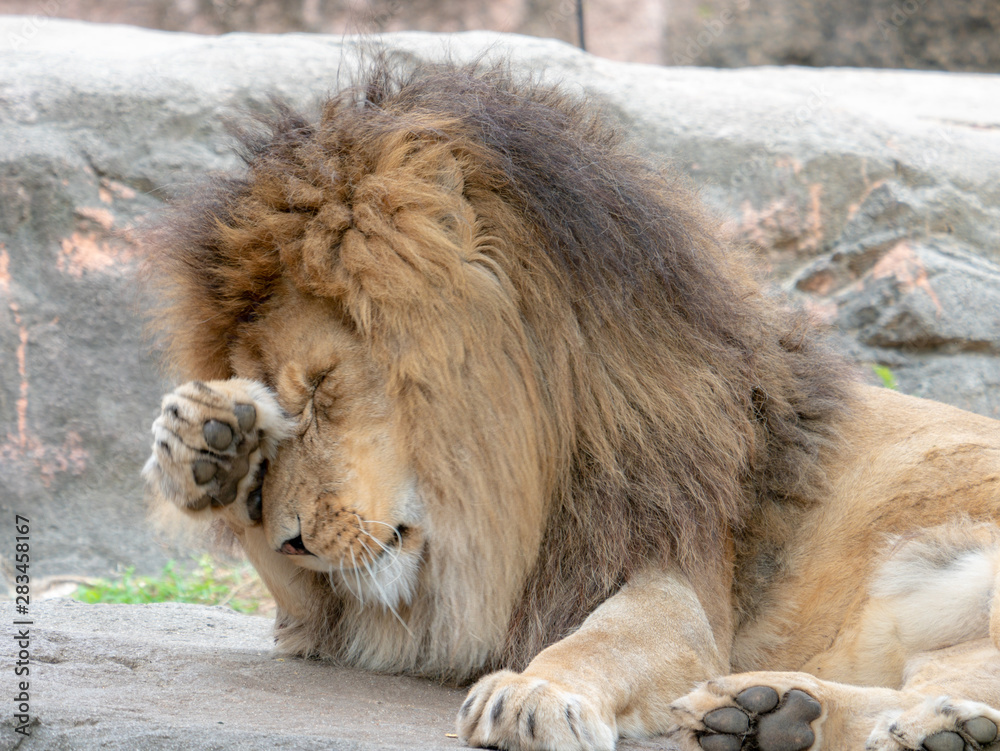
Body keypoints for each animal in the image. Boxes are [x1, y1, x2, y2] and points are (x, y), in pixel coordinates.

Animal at [139, 60, 1000, 751]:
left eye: (322, 385)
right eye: (276, 406)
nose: (294, 539)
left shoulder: (679, 573)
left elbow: (606, 640)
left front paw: (535, 691)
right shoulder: (367, 610)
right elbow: (305, 595)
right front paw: (206, 448)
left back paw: (928, 727)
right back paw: (772, 713)